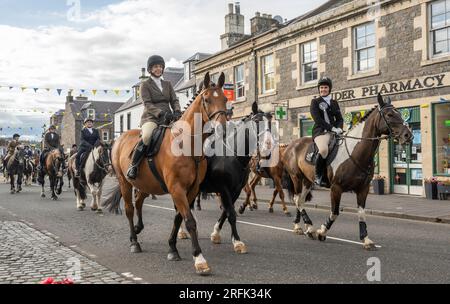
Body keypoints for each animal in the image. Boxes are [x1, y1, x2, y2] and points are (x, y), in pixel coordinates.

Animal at [103, 72, 229, 276]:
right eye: (207, 100)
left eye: (225, 99)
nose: (222, 129)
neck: (186, 144)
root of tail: (120, 138)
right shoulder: (177, 189)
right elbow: (190, 221)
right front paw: (199, 259)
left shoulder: (191, 190)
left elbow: (178, 218)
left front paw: (172, 248)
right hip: (125, 182)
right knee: (130, 209)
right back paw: (134, 241)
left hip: (146, 184)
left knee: (139, 202)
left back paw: (138, 228)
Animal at [284, 94, 414, 249]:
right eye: (389, 115)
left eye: (399, 113)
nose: (408, 135)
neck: (355, 152)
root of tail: (292, 144)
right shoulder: (336, 188)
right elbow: (334, 212)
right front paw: (322, 232)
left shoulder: (363, 188)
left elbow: (361, 213)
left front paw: (366, 239)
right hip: (296, 177)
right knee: (298, 199)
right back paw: (305, 227)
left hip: (308, 180)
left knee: (301, 200)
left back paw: (305, 227)